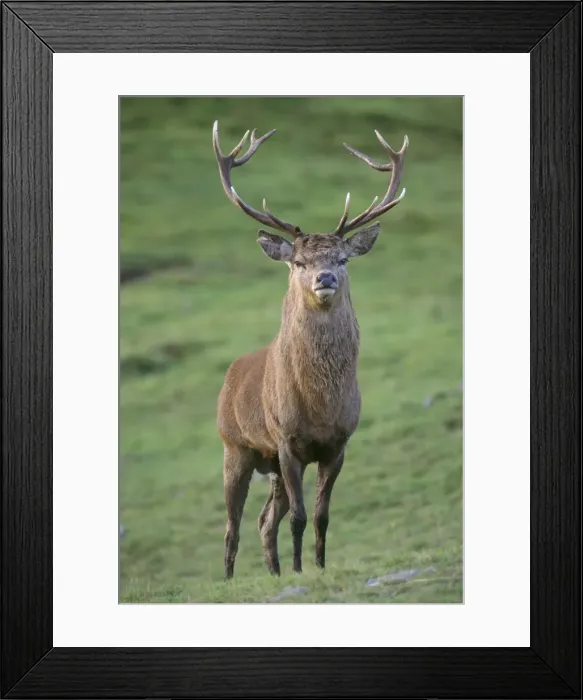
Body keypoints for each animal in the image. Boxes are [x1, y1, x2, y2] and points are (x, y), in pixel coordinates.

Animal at [212, 120, 408, 580]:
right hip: (235, 447)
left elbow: (321, 515)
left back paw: (274, 572)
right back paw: (229, 580)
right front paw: (302, 570)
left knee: (265, 520)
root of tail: (230, 375)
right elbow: (300, 518)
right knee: (232, 526)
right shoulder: (287, 440)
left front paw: (317, 566)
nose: (325, 278)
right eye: (298, 262)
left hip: (269, 465)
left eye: (343, 259)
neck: (320, 406)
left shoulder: (338, 444)